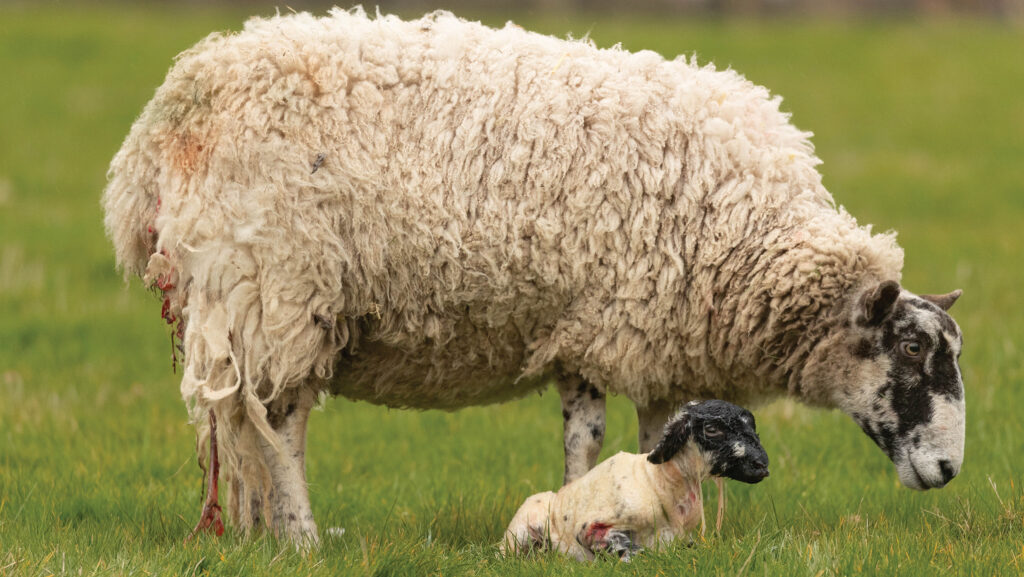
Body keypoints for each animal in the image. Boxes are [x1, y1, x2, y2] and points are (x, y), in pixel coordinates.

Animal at [102, 8, 967, 544]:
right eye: (910, 351)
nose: (950, 469)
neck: (752, 238)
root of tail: (160, 127)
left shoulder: (626, 331)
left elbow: (635, 432)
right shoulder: (612, 323)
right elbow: (600, 441)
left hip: (253, 299)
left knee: (253, 429)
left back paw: (270, 534)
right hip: (279, 285)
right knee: (281, 429)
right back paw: (305, 537)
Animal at [502, 400, 769, 561]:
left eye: (752, 425)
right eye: (712, 429)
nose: (762, 466)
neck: (659, 483)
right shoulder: (590, 528)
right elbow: (635, 552)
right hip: (520, 533)